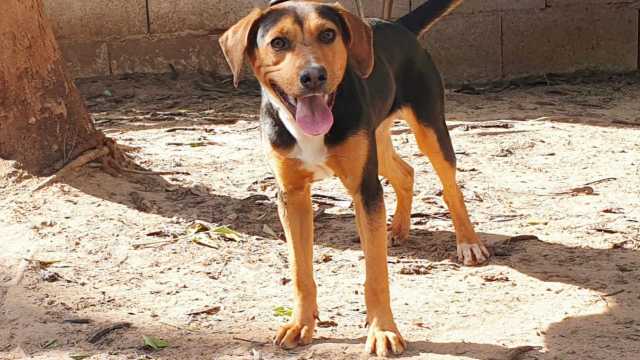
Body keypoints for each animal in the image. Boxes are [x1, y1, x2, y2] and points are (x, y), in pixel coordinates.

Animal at [218, 0, 488, 354]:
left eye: (327, 34)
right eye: (278, 42)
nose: (314, 76)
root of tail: (397, 24)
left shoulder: (365, 188)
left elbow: (376, 274)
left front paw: (383, 331)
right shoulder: (292, 196)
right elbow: (300, 271)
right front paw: (300, 324)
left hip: (430, 129)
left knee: (450, 186)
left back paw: (468, 243)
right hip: (378, 142)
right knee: (406, 172)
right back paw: (397, 228)